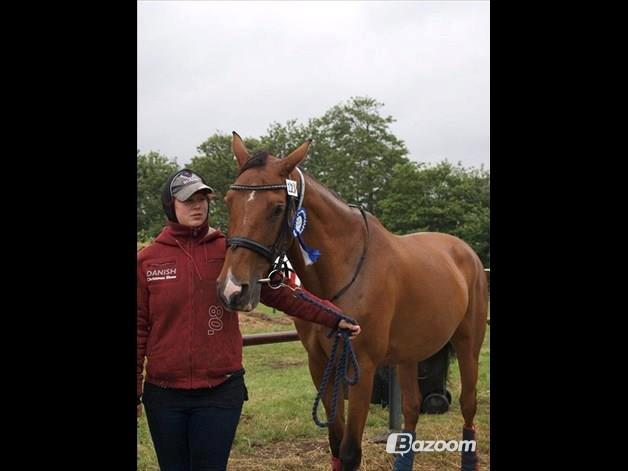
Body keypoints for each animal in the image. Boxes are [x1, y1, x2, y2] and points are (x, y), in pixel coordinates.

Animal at [218, 134, 488, 471]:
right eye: (229, 201)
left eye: (277, 208)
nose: (232, 289)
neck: (344, 269)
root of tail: (465, 251)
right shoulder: (321, 364)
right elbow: (335, 443)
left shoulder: (363, 367)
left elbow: (349, 452)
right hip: (409, 354)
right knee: (412, 408)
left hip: (468, 344)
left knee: (468, 405)